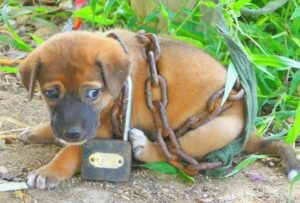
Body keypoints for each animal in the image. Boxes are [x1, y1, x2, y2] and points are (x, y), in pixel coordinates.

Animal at [19, 29, 300, 190]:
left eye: (93, 93)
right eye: (51, 93)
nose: (71, 133)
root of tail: (250, 133)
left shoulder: (102, 127)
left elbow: (71, 152)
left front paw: (49, 171)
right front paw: (39, 131)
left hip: (217, 130)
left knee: (176, 156)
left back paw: (145, 147)